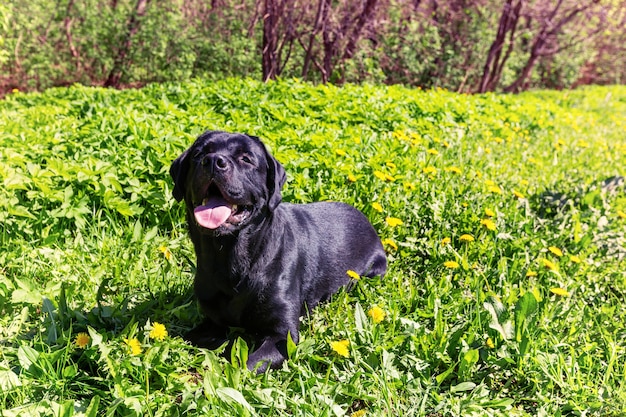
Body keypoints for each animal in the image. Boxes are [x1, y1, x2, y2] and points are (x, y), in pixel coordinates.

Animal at [171, 131, 386, 370]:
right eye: (198, 154)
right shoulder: (212, 323)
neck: (230, 257)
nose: (213, 161)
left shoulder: (282, 336)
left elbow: (245, 366)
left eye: (246, 159)